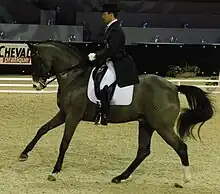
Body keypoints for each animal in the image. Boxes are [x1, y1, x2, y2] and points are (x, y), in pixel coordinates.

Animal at [18, 40, 214, 187]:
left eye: (36, 59)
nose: (36, 85)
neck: (74, 77)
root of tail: (173, 87)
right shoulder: (64, 113)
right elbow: (42, 129)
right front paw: (24, 154)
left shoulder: (73, 116)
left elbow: (64, 143)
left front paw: (55, 172)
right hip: (146, 123)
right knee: (143, 151)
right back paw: (120, 177)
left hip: (162, 126)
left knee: (180, 147)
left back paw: (185, 180)